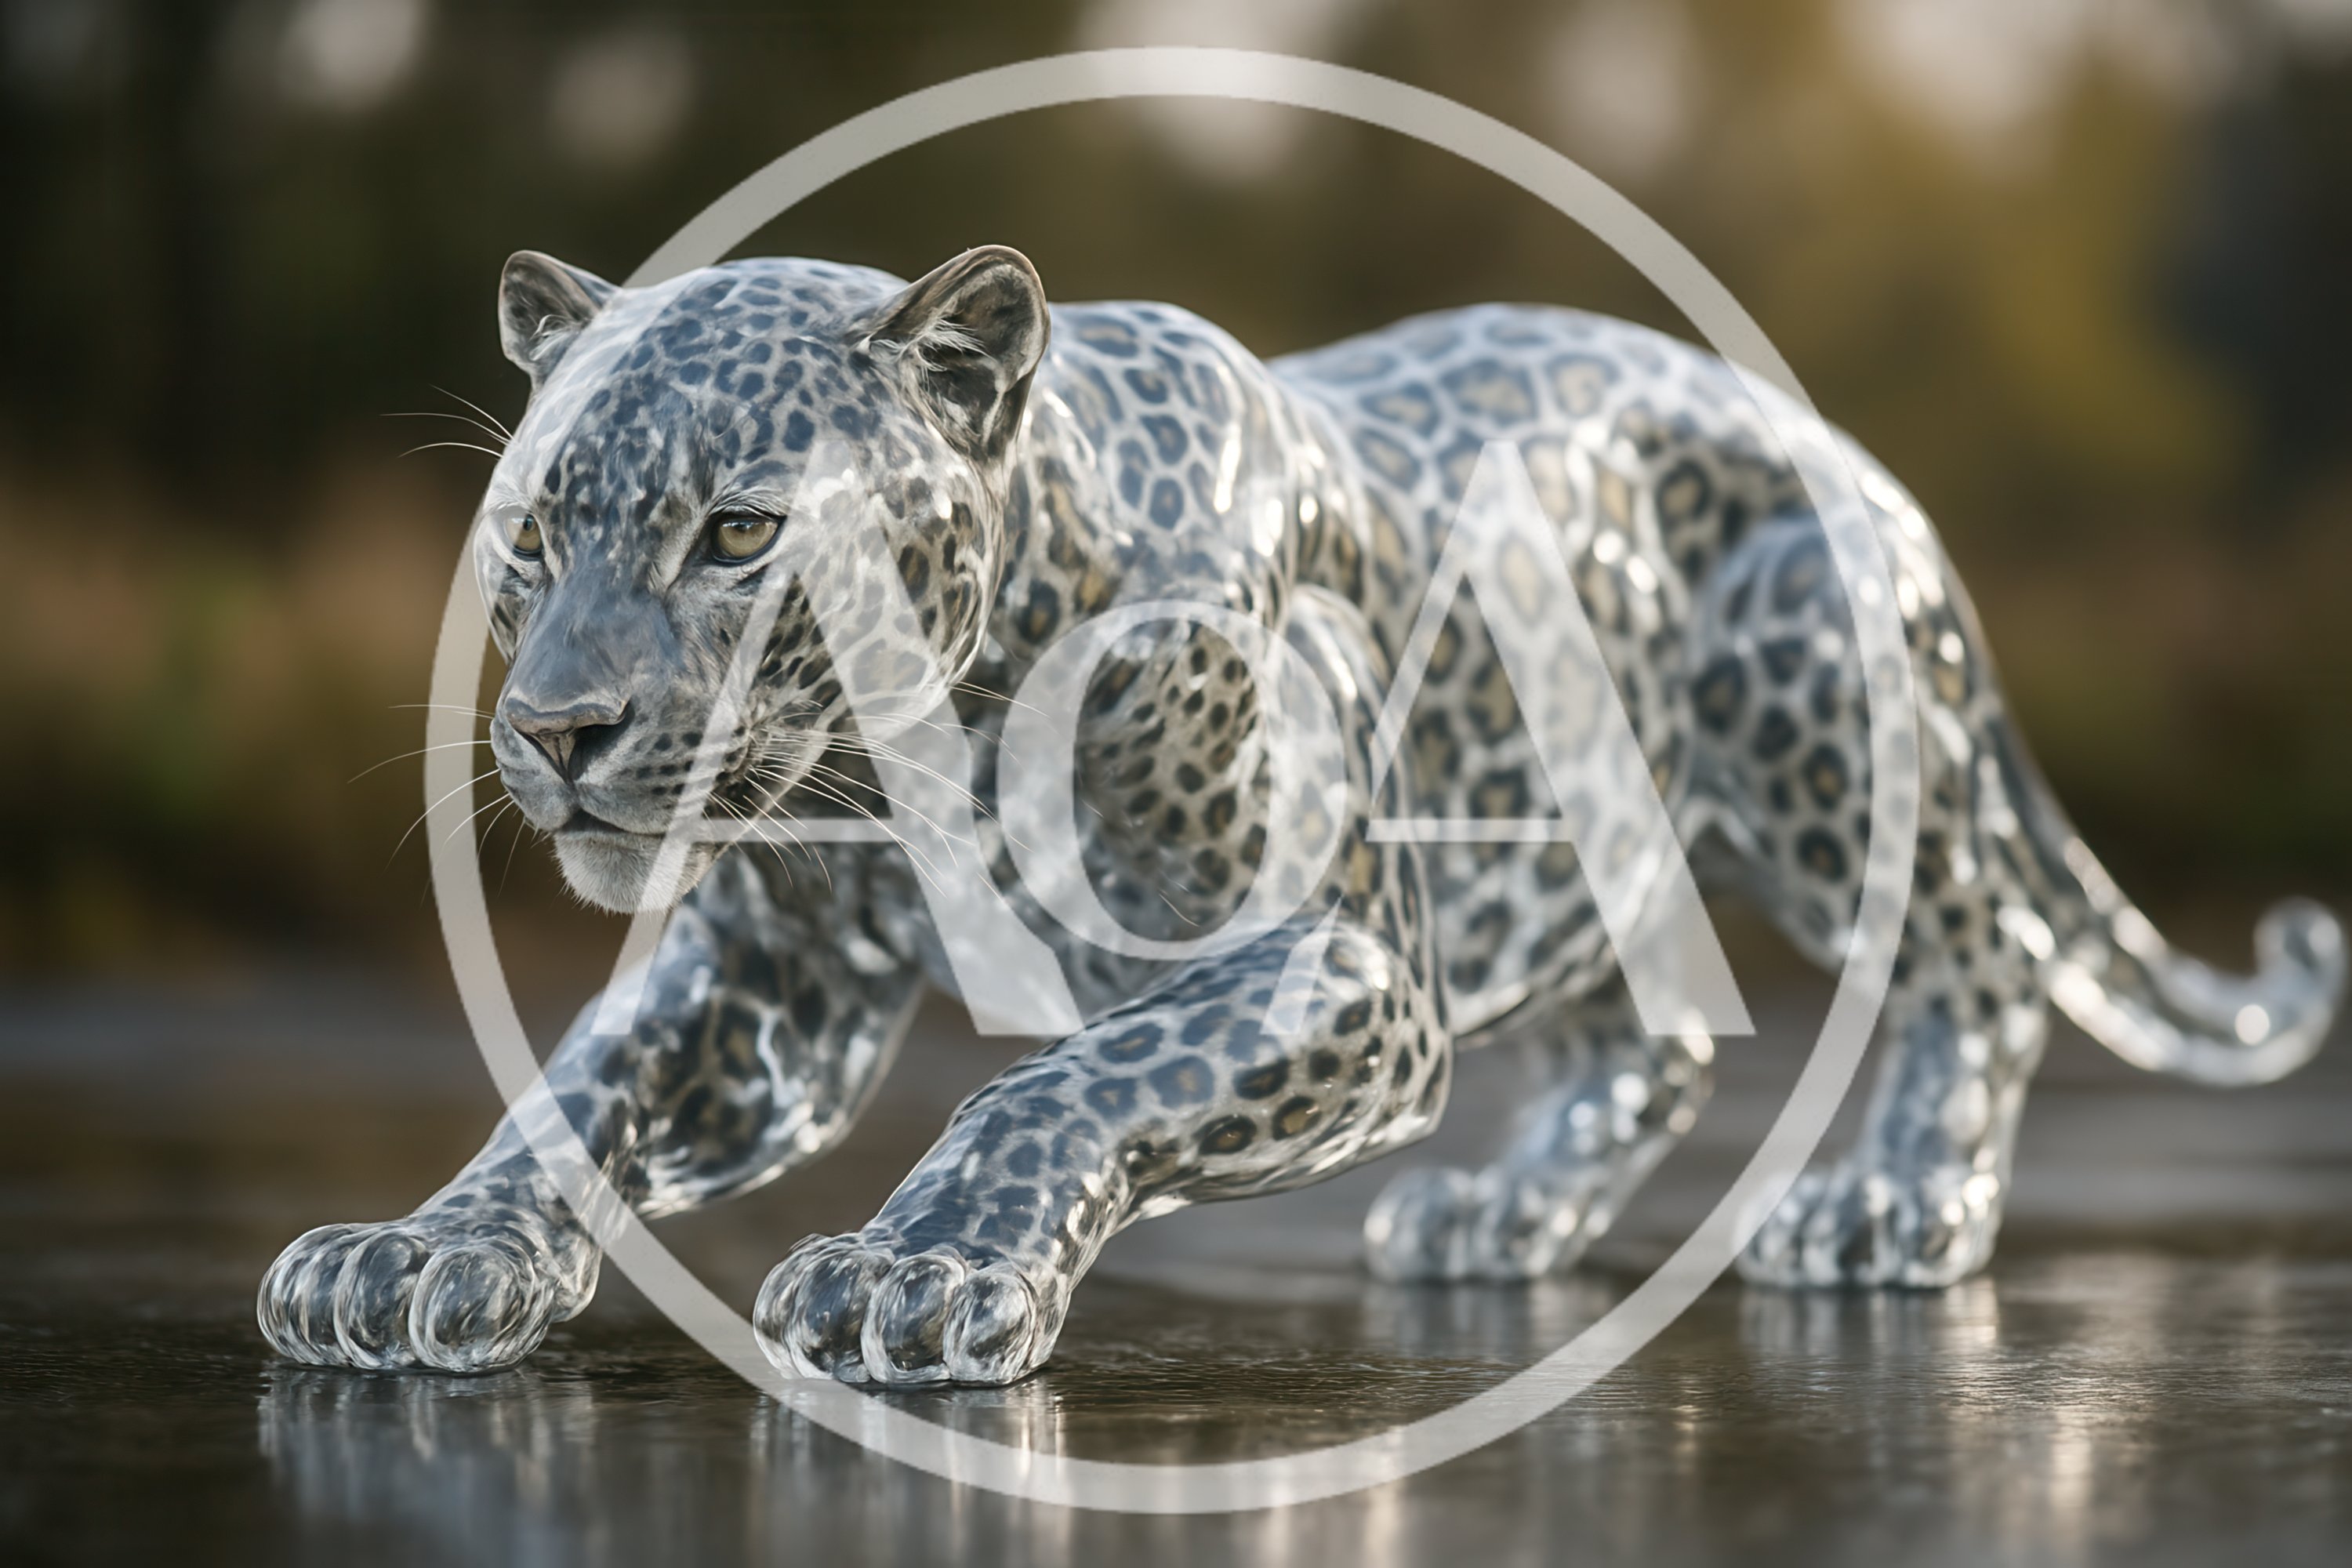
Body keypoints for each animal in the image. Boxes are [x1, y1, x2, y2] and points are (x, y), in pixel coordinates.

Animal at [258, 245, 2345, 1385]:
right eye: (530, 534)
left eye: (744, 530)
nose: (558, 731)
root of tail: (1850, 452)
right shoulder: (778, 991)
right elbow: (572, 1092)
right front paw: (412, 1253)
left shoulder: (1338, 958)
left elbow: (1059, 1079)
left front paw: (921, 1273)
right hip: (1551, 832)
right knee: (1654, 1038)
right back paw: (1498, 1212)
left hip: (1816, 718)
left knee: (1973, 962)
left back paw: (1895, 1200)